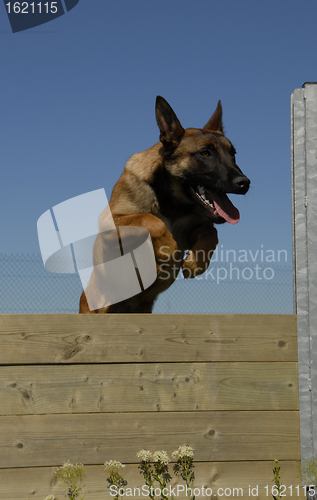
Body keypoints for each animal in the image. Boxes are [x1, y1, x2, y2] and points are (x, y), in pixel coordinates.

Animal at [79, 96, 249, 312]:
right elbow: (150, 220)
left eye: (233, 154)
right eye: (205, 154)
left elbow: (212, 232)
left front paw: (196, 263)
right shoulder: (111, 222)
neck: (171, 202)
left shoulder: (194, 228)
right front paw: (168, 248)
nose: (244, 183)